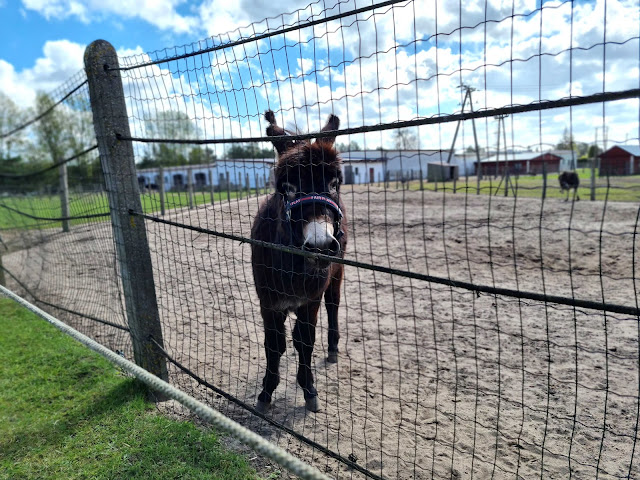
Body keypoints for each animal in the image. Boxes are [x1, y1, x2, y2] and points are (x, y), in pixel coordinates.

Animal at [250, 110, 348, 413]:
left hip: (337, 273)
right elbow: (274, 345)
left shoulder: (310, 300)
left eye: (334, 184)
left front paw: (309, 390)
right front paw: (266, 393)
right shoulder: (268, 301)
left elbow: (305, 342)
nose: (320, 246)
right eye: (288, 188)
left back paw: (332, 350)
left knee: (333, 306)